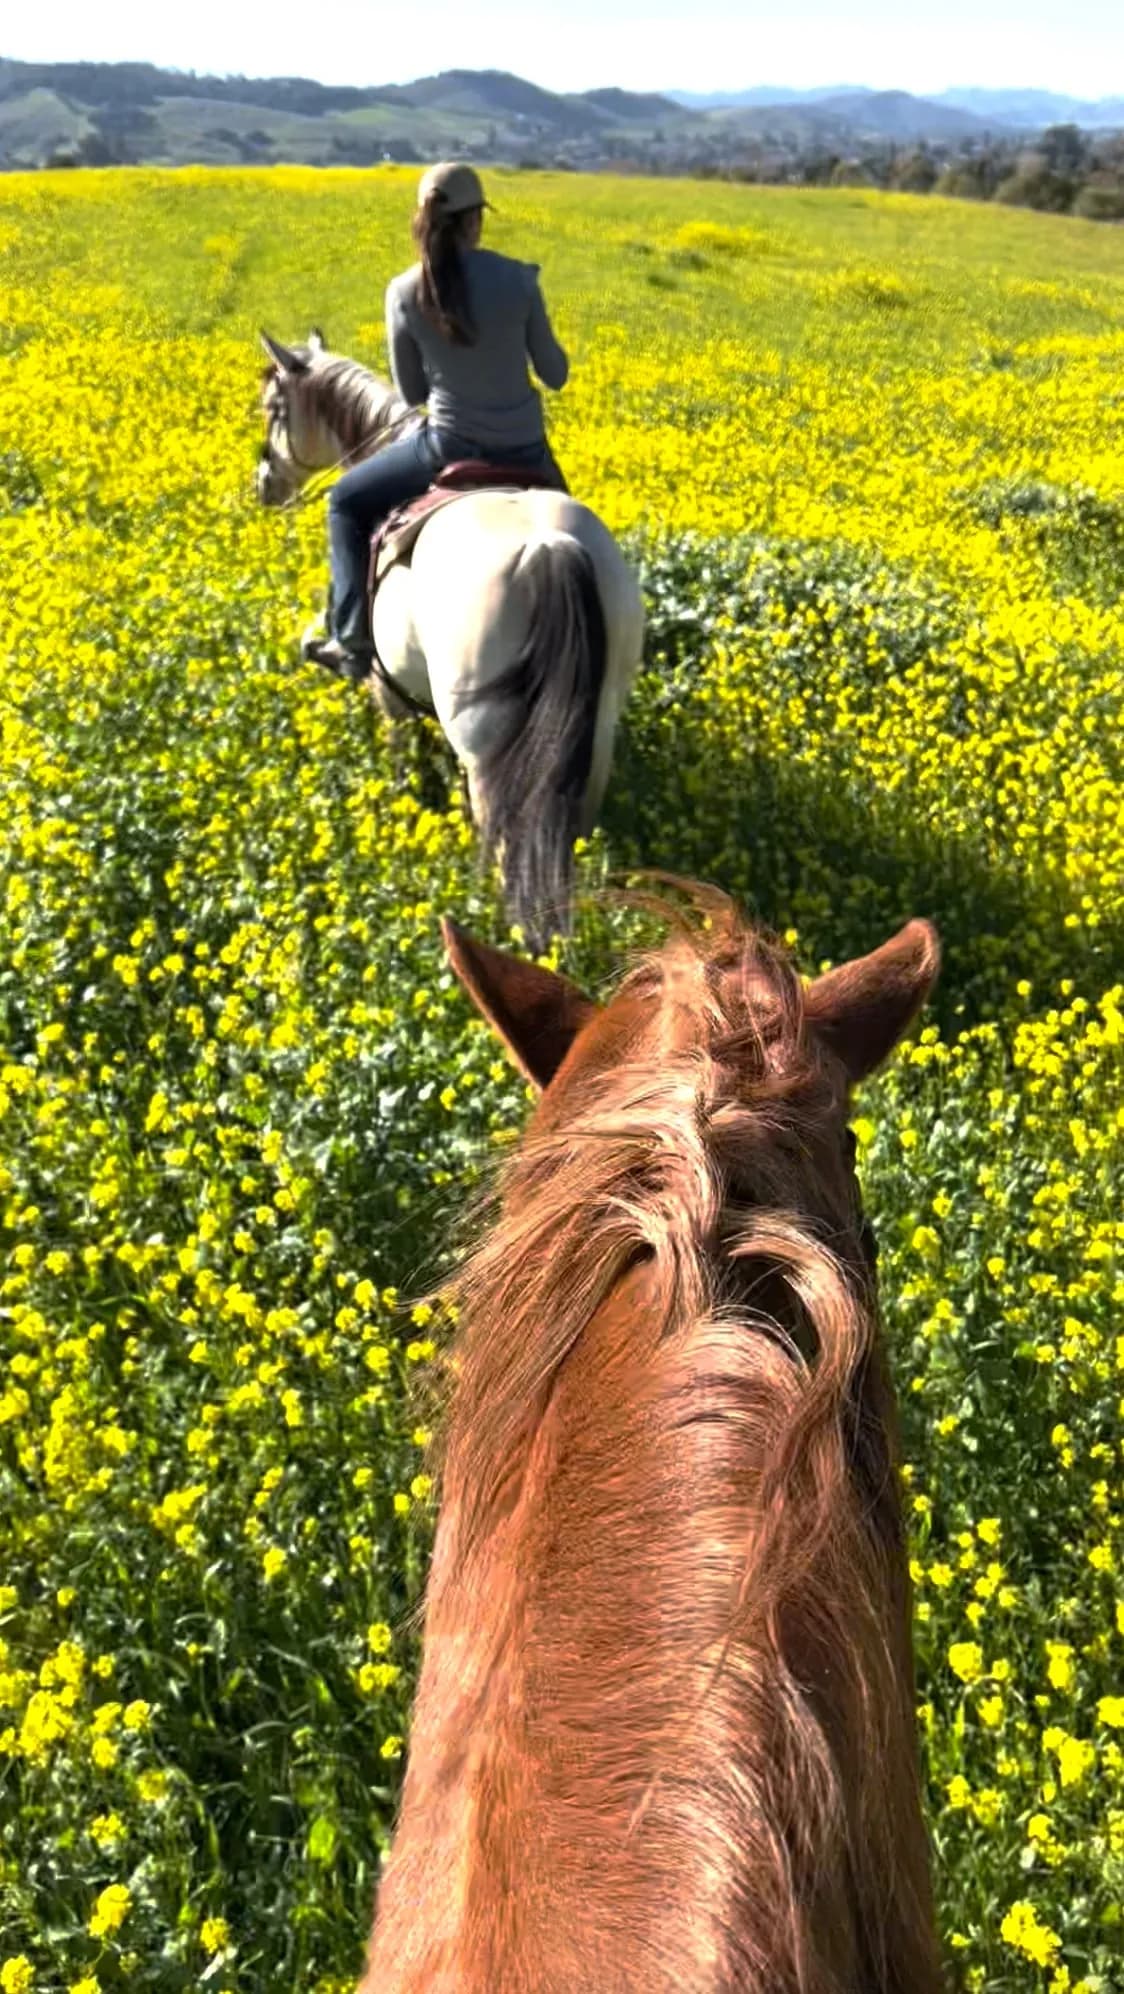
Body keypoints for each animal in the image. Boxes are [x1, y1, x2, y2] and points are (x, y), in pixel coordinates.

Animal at [255, 331, 645, 947]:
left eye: (274, 408)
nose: (264, 484)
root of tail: (549, 546)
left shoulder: (385, 690)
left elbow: (397, 752)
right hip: (596, 730)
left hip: (485, 744)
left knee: (500, 833)